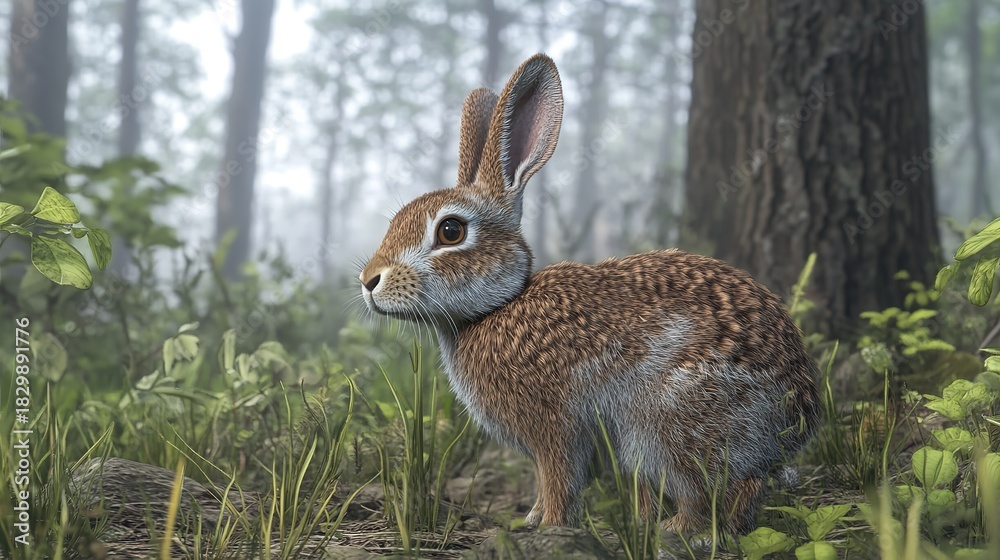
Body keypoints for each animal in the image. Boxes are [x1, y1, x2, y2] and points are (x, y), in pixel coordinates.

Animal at [359, 53, 821, 535]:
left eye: (451, 231)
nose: (369, 281)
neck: (499, 306)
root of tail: (797, 420)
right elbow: (546, 481)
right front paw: (532, 518)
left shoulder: (556, 424)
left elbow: (559, 478)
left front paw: (550, 526)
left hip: (668, 423)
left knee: (715, 489)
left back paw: (676, 531)